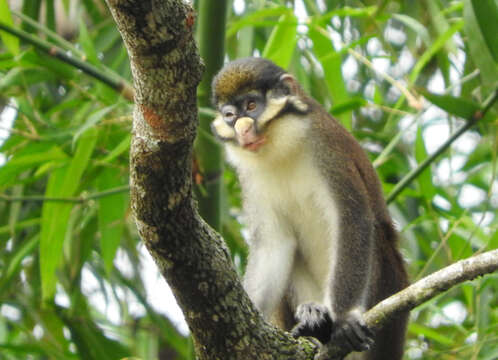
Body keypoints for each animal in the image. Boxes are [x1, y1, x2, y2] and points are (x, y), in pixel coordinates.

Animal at [210, 57, 408, 358]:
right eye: (230, 114)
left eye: (252, 106)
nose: (242, 129)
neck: (282, 148)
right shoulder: (249, 177)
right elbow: (274, 244)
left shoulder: (327, 148)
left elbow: (354, 219)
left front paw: (344, 318)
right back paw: (316, 325)